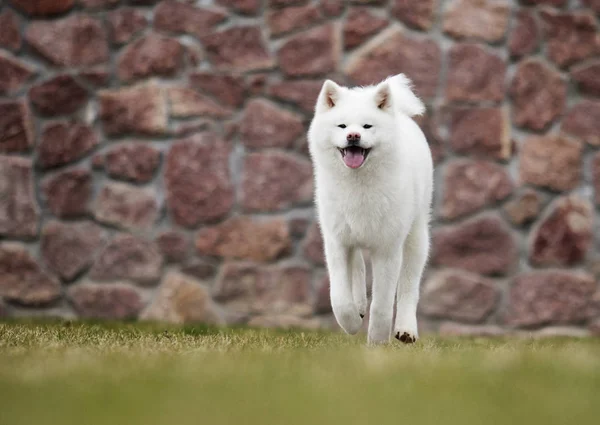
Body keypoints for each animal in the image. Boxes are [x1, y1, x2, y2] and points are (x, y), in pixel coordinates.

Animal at [308, 73, 434, 344]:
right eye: (342, 126)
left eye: (367, 126)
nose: (353, 136)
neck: (359, 186)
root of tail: (401, 114)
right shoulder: (337, 242)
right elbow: (339, 298)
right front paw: (352, 322)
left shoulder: (388, 249)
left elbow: (383, 304)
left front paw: (377, 341)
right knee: (357, 265)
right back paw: (359, 306)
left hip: (416, 239)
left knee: (409, 287)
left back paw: (406, 329)